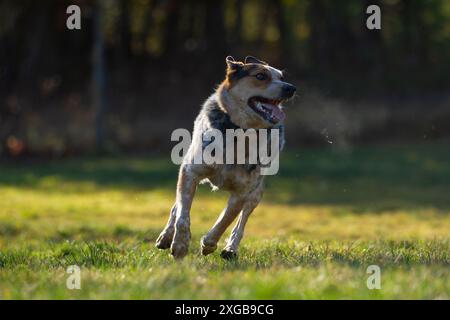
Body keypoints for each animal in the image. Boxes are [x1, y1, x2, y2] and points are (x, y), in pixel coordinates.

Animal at [155, 56, 296, 258]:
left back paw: (230, 249)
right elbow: (183, 212)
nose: (291, 88)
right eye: (261, 76)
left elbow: (227, 218)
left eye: (282, 77)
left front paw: (209, 243)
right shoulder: (190, 171)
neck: (239, 132)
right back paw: (166, 237)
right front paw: (180, 243)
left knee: (241, 221)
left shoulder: (244, 190)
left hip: (257, 191)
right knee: (176, 206)